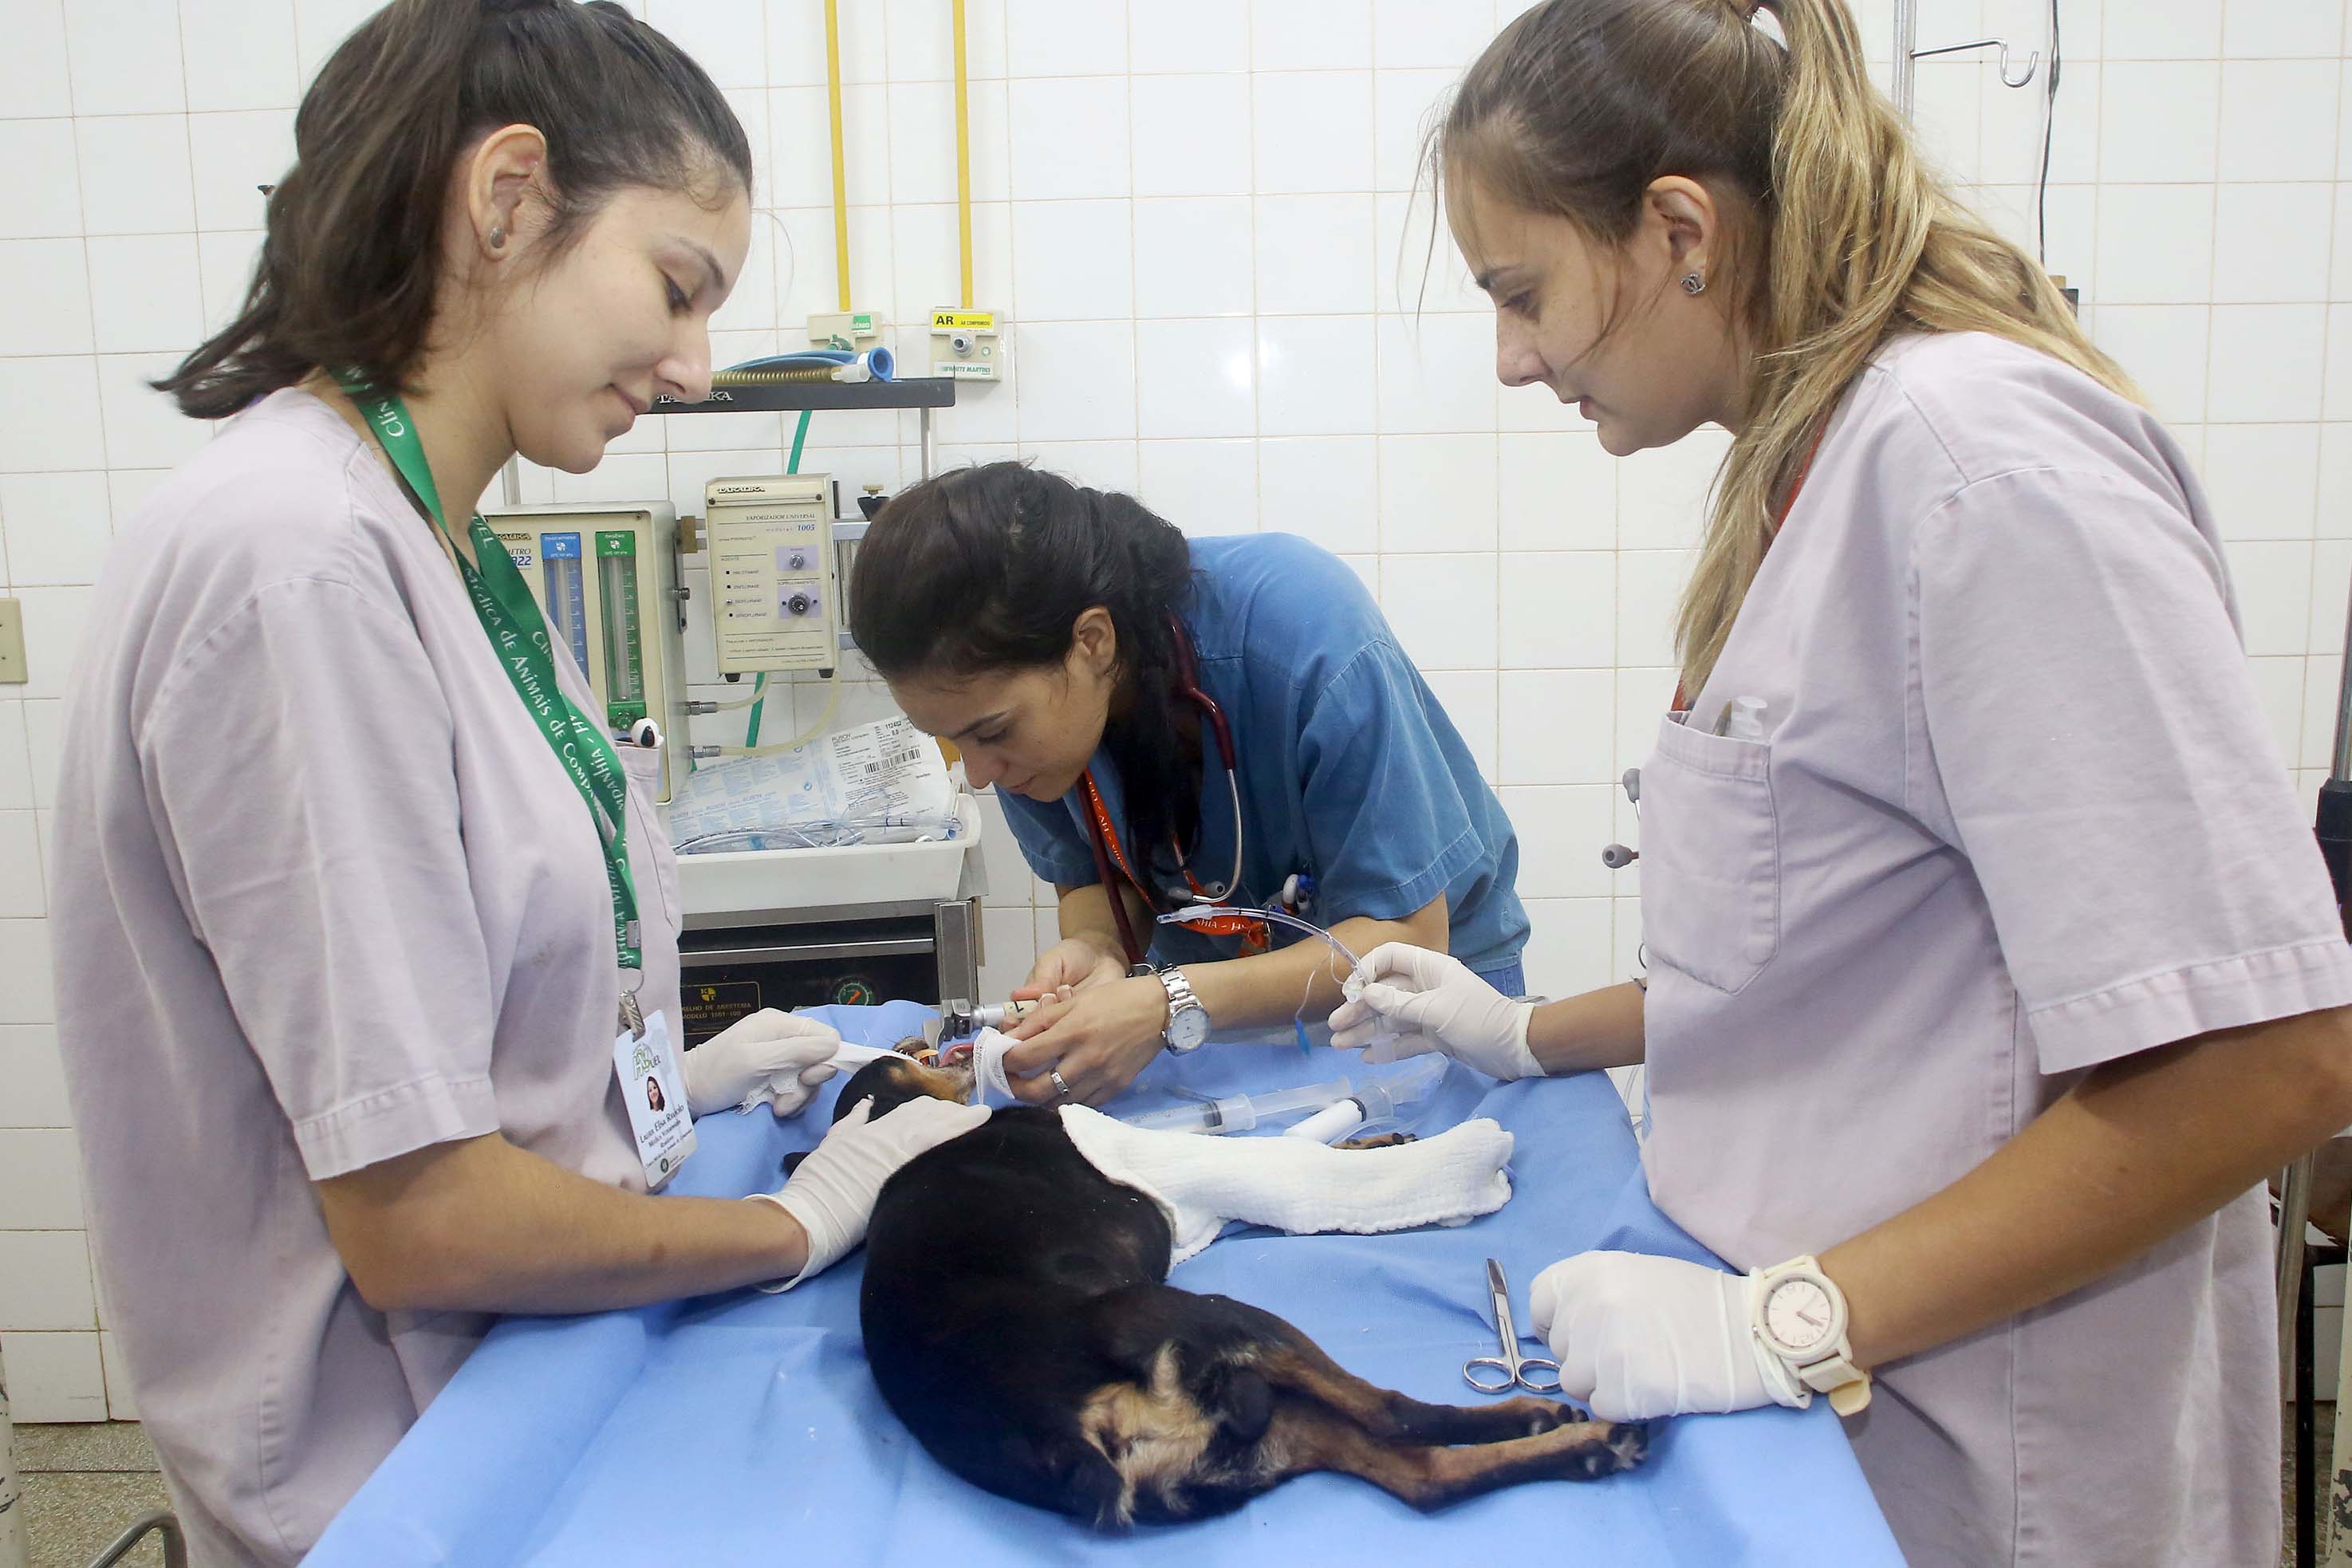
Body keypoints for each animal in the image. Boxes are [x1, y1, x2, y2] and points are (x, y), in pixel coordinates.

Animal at [799, 1048, 1646, 1523]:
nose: (931, 1030)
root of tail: (1069, 1430)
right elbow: (1272, 1149)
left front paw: (1374, 1135)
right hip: (1222, 1321)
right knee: (1398, 1415)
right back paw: (1556, 1422)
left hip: (1260, 1433)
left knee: (1422, 1479)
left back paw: (1581, 1445)